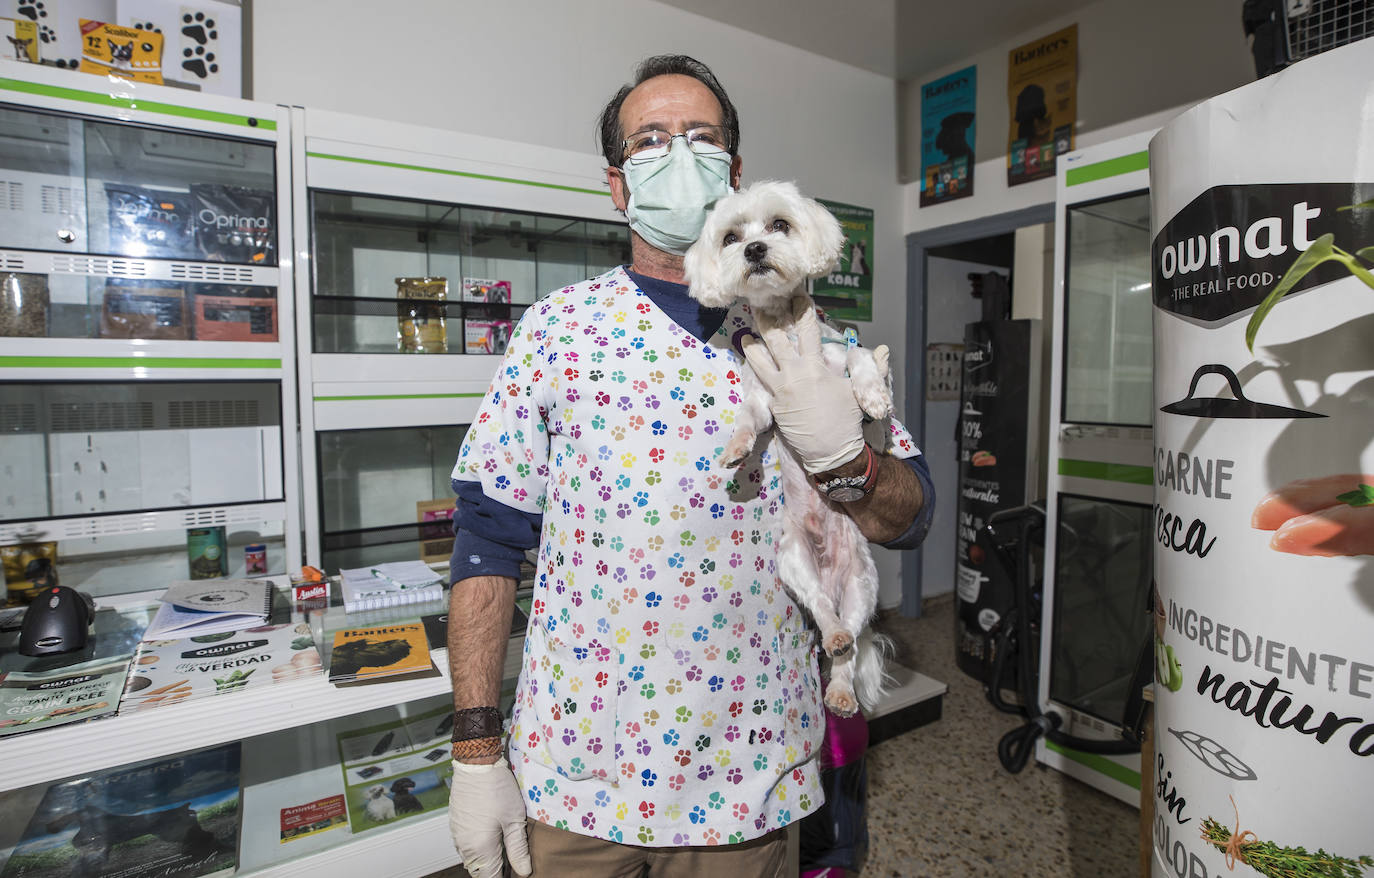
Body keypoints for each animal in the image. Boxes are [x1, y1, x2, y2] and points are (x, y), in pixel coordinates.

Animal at [684, 179, 890, 719]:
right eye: (731, 237)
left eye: (780, 224)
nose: (756, 249)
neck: (789, 337)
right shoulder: (764, 397)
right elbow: (749, 419)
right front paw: (737, 449)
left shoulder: (840, 353)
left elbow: (862, 360)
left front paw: (874, 396)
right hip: (792, 558)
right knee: (823, 613)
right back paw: (833, 645)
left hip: (862, 584)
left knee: (851, 646)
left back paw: (841, 688)